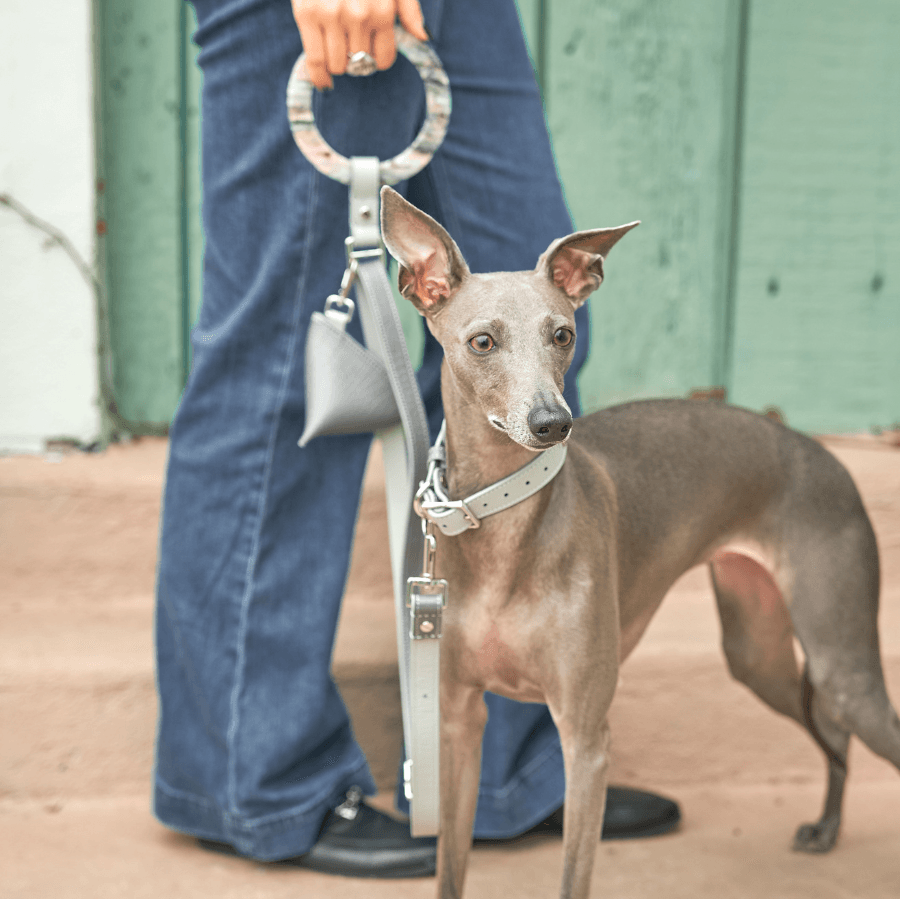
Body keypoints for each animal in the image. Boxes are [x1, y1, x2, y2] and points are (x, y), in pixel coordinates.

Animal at [380, 186, 900, 896]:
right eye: (482, 341)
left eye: (563, 334)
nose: (552, 423)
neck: (504, 522)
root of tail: (825, 455)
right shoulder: (459, 722)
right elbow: (451, 871)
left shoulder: (586, 739)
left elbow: (573, 876)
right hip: (757, 650)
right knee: (832, 731)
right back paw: (825, 828)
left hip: (840, 657)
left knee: (849, 719)